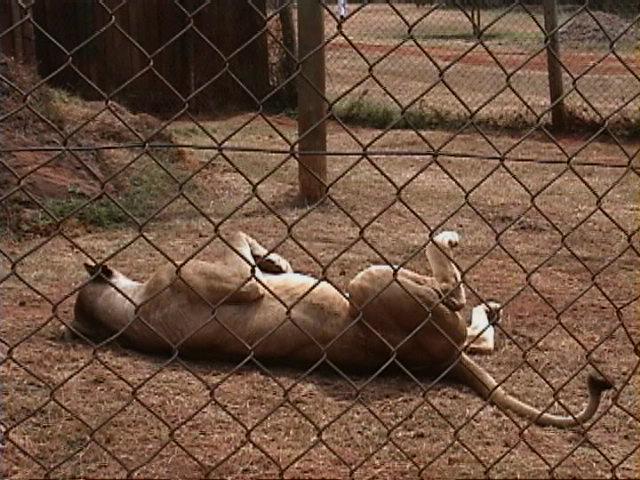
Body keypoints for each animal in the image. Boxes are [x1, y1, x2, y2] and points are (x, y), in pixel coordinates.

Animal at [67, 231, 612, 430]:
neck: (128, 314)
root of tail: (447, 361)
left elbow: (242, 239)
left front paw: (277, 260)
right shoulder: (235, 283)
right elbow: (236, 245)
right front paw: (273, 260)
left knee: (479, 332)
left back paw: (490, 306)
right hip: (370, 282)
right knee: (451, 291)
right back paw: (448, 245)